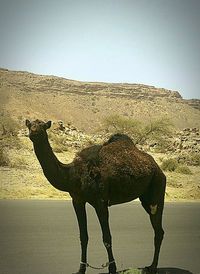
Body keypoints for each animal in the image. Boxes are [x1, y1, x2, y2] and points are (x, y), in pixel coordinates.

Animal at [25, 119, 166, 272]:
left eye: (43, 126)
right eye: (30, 125)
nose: (34, 131)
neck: (74, 174)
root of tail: (158, 168)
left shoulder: (100, 202)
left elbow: (107, 238)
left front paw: (112, 268)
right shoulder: (77, 200)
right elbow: (83, 237)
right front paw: (81, 269)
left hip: (157, 187)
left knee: (158, 229)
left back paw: (153, 267)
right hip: (145, 198)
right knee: (158, 228)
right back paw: (151, 265)